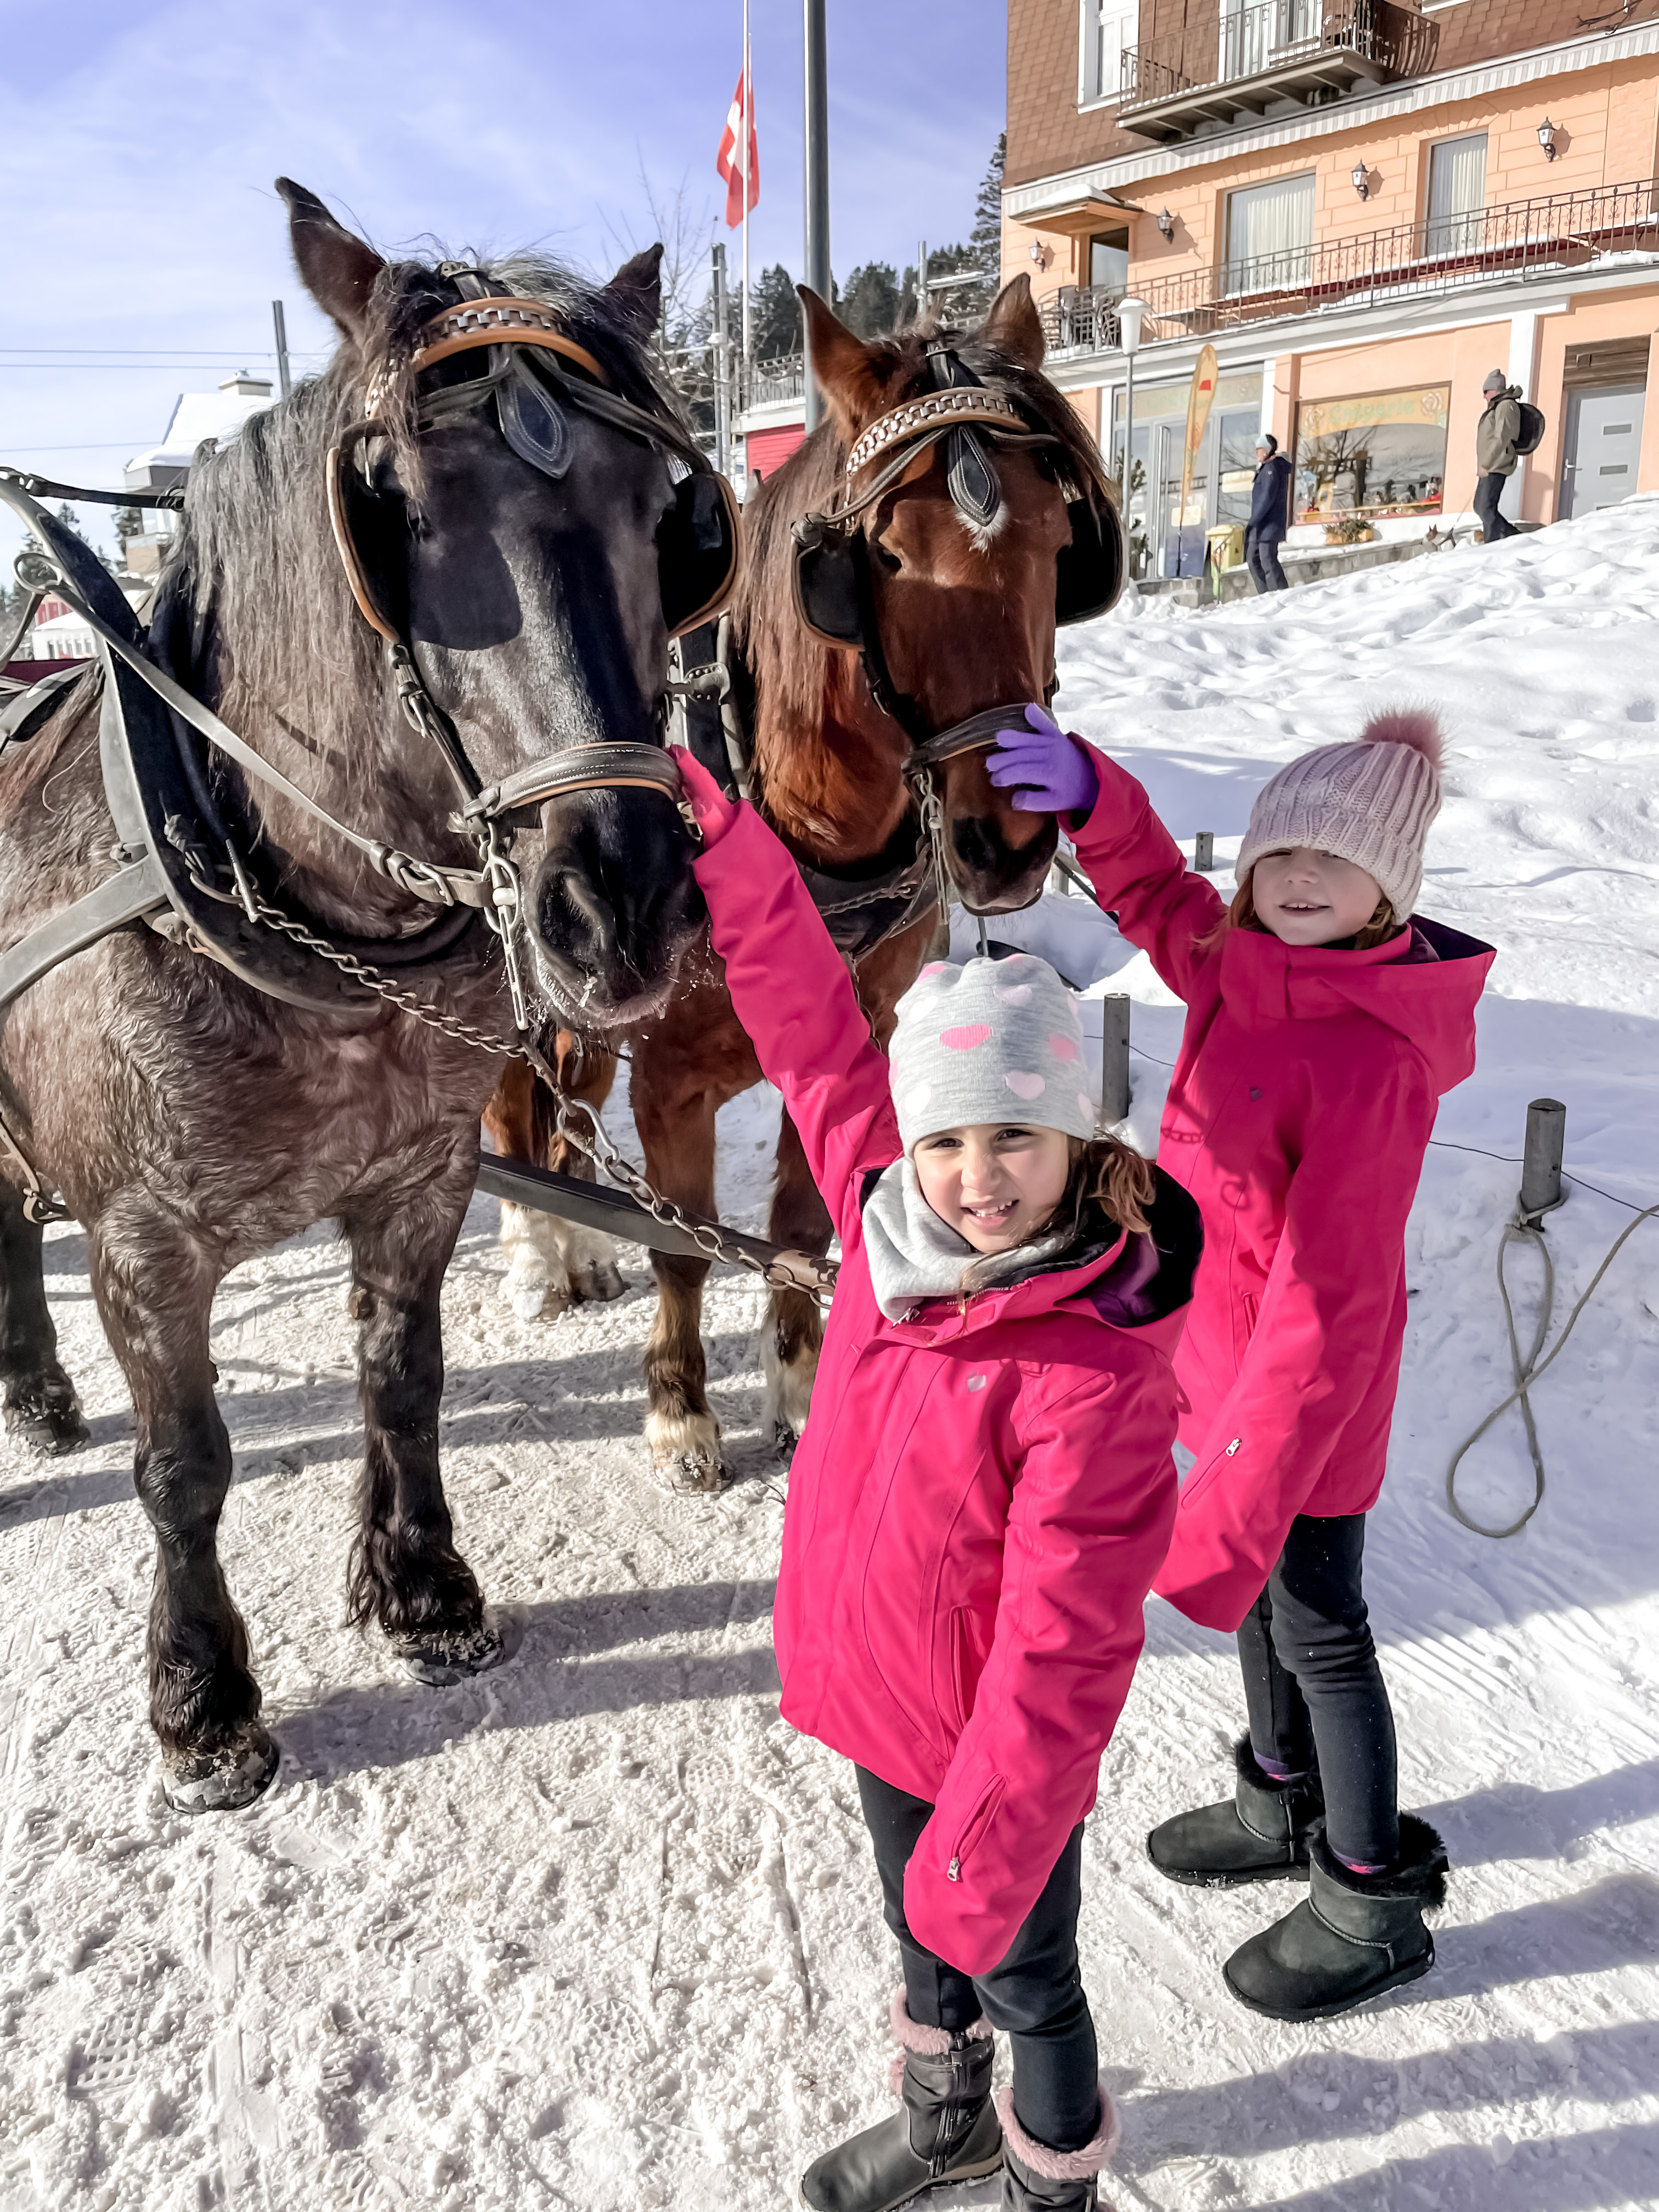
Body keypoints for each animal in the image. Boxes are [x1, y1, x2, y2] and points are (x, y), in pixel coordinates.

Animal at [491, 276, 1119, 1486]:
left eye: (1064, 539)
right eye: (881, 558)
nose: (1009, 840)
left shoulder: (851, 1040)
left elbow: (796, 1226)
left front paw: (791, 1385)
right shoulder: (673, 1077)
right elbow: (683, 1248)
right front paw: (680, 1411)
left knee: (563, 1106)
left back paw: (578, 1247)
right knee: (511, 1112)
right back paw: (535, 1251)